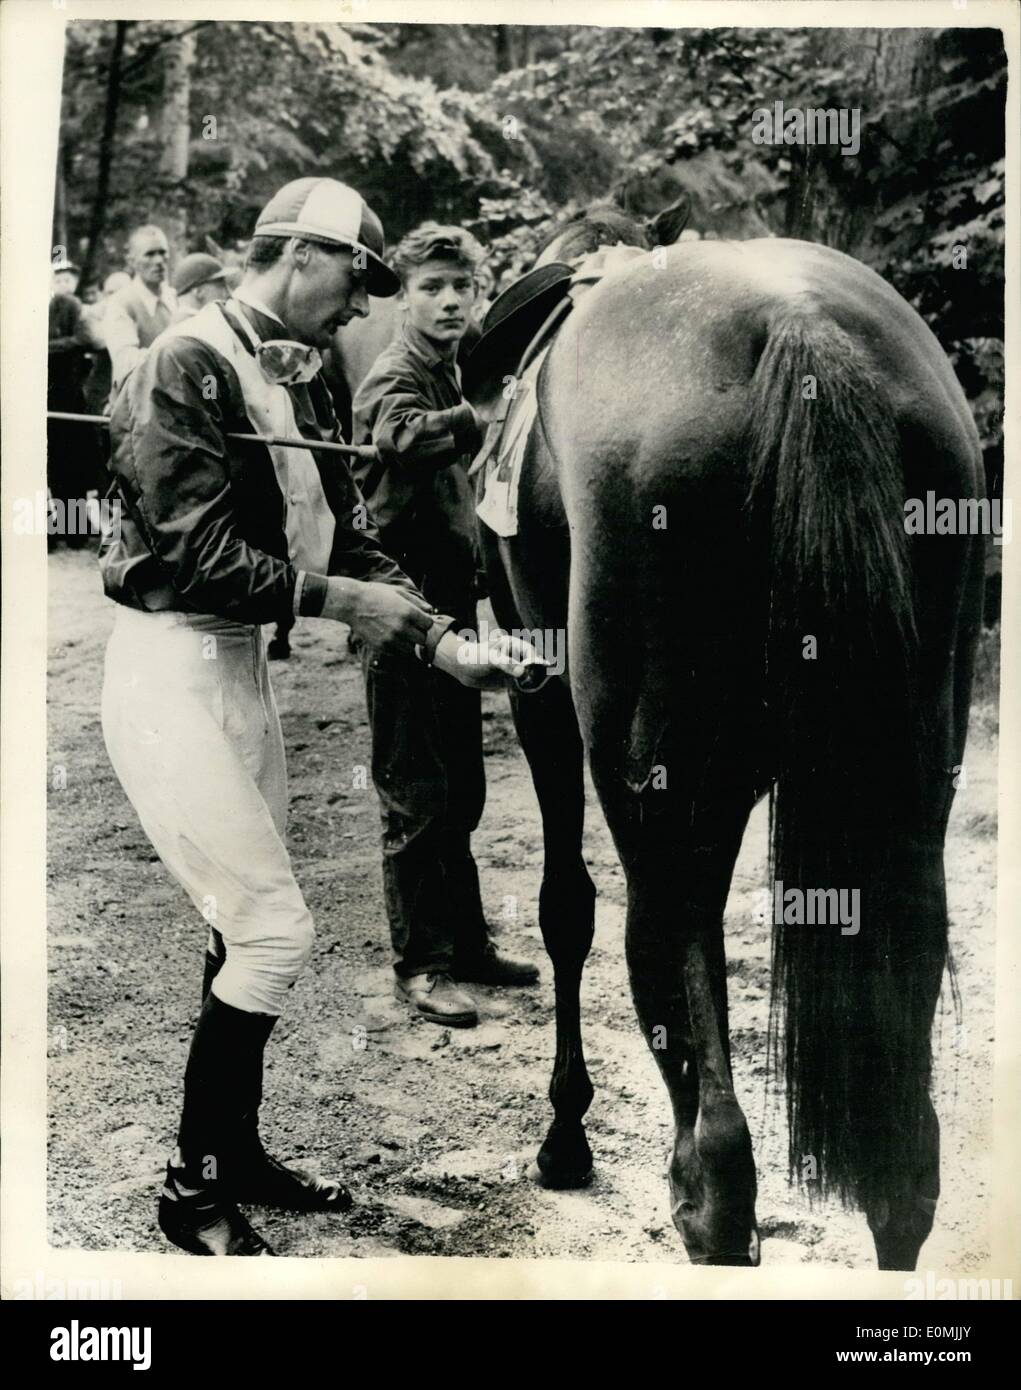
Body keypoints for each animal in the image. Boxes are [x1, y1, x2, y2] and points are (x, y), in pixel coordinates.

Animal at [463, 208, 989, 1273]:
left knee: (710, 1142)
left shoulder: (540, 694)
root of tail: (802, 333)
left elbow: (562, 909)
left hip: (656, 795)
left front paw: (564, 1137)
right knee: (904, 1168)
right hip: (913, 788)